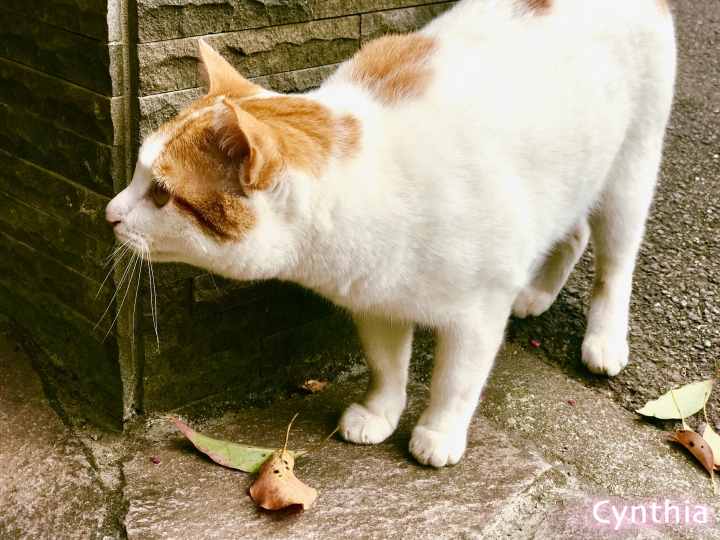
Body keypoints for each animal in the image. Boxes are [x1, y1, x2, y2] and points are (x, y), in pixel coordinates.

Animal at [105, 0, 676, 466]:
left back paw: (604, 339)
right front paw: (381, 413)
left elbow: (457, 379)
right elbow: (385, 364)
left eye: (161, 193)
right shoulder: (376, 298)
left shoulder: (478, 312)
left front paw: (439, 432)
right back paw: (537, 293)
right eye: (137, 175)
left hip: (630, 171)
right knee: (573, 233)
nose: (109, 213)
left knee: (615, 263)